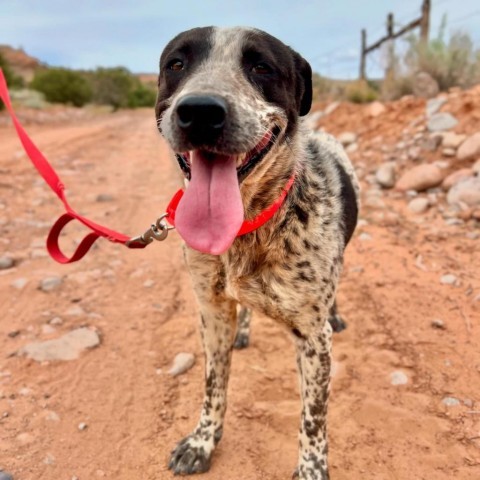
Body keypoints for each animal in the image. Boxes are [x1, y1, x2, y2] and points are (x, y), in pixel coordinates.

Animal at [156, 27, 358, 480]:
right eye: (176, 64)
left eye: (261, 67)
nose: (199, 111)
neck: (247, 229)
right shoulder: (212, 314)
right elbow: (214, 387)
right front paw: (202, 441)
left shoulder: (313, 340)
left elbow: (313, 419)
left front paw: (312, 469)